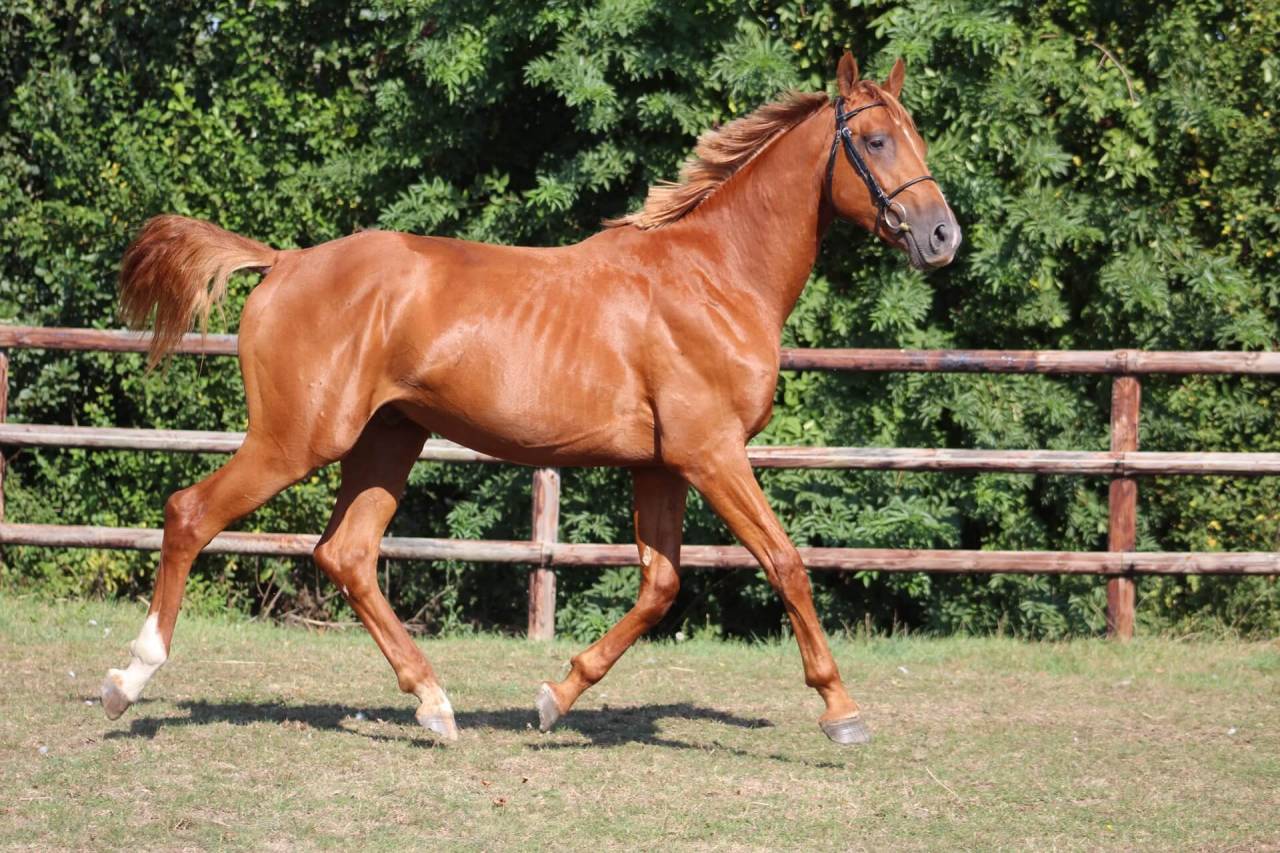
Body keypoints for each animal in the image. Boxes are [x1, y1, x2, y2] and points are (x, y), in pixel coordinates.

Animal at [101, 51, 959, 745]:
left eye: (916, 135)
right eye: (876, 141)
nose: (943, 237)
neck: (715, 274)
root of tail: (284, 262)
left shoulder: (662, 466)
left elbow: (660, 585)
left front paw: (555, 696)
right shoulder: (712, 453)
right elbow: (785, 562)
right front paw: (841, 710)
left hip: (388, 439)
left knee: (346, 553)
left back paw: (435, 704)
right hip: (296, 439)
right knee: (190, 513)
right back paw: (128, 679)